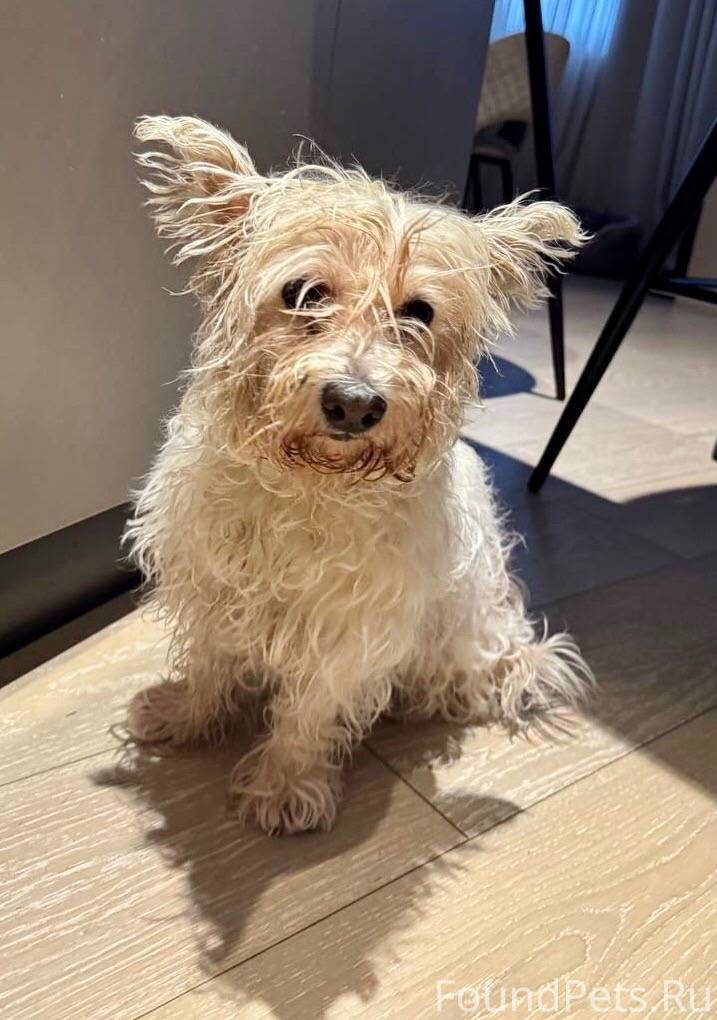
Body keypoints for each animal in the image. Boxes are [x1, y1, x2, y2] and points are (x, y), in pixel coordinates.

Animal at [125, 115, 594, 835]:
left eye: (419, 312)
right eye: (302, 292)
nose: (354, 403)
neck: (309, 484)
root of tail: (504, 641)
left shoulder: (351, 628)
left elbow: (311, 709)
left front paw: (286, 783)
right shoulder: (211, 583)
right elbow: (208, 661)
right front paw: (187, 714)